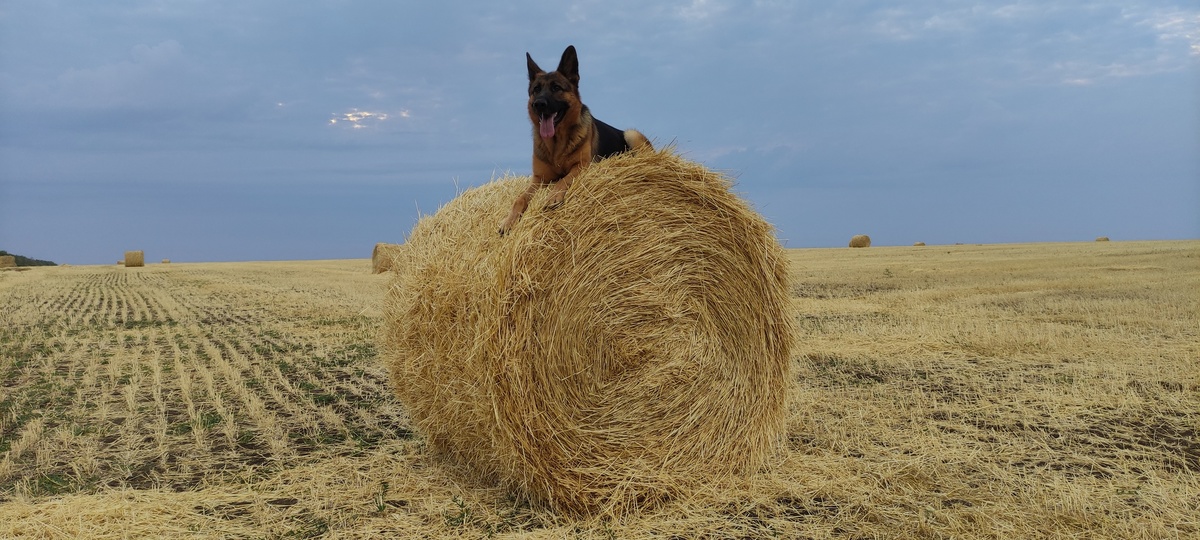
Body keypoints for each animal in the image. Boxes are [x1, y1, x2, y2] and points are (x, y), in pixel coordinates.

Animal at [496, 43, 652, 234]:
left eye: (556, 88)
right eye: (536, 89)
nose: (538, 104)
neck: (556, 145)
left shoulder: (582, 165)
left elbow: (563, 180)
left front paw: (553, 196)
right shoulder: (539, 179)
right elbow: (519, 198)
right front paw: (508, 220)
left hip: (631, 134)